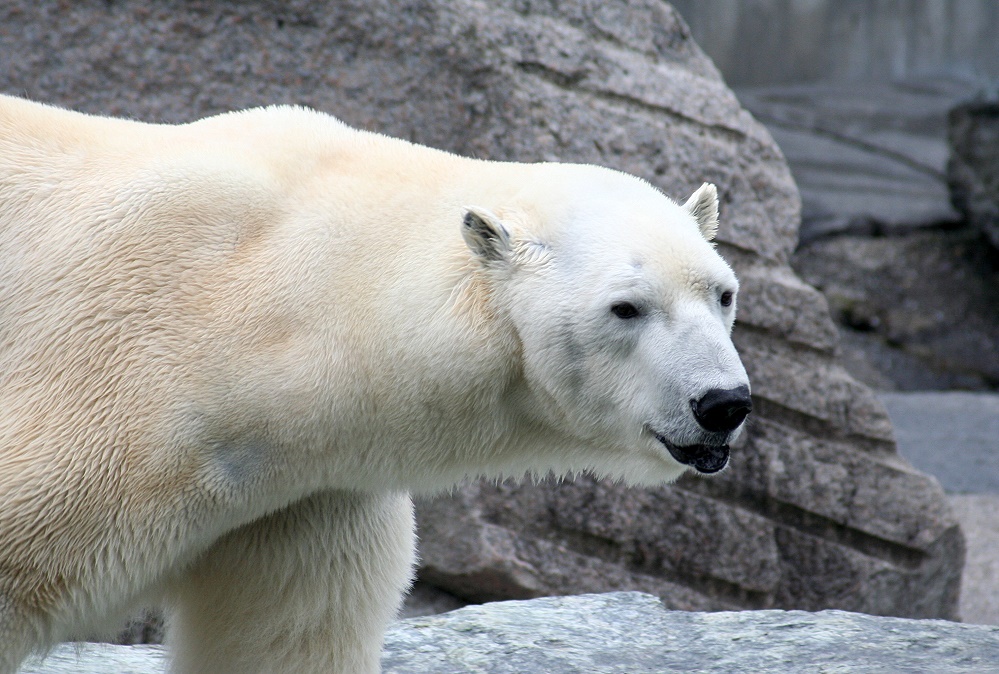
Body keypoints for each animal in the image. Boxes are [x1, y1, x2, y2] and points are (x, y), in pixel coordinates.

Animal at [0, 96, 752, 672]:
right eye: (625, 307)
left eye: (723, 293)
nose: (722, 404)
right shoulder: (118, 376)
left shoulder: (305, 498)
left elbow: (283, 637)